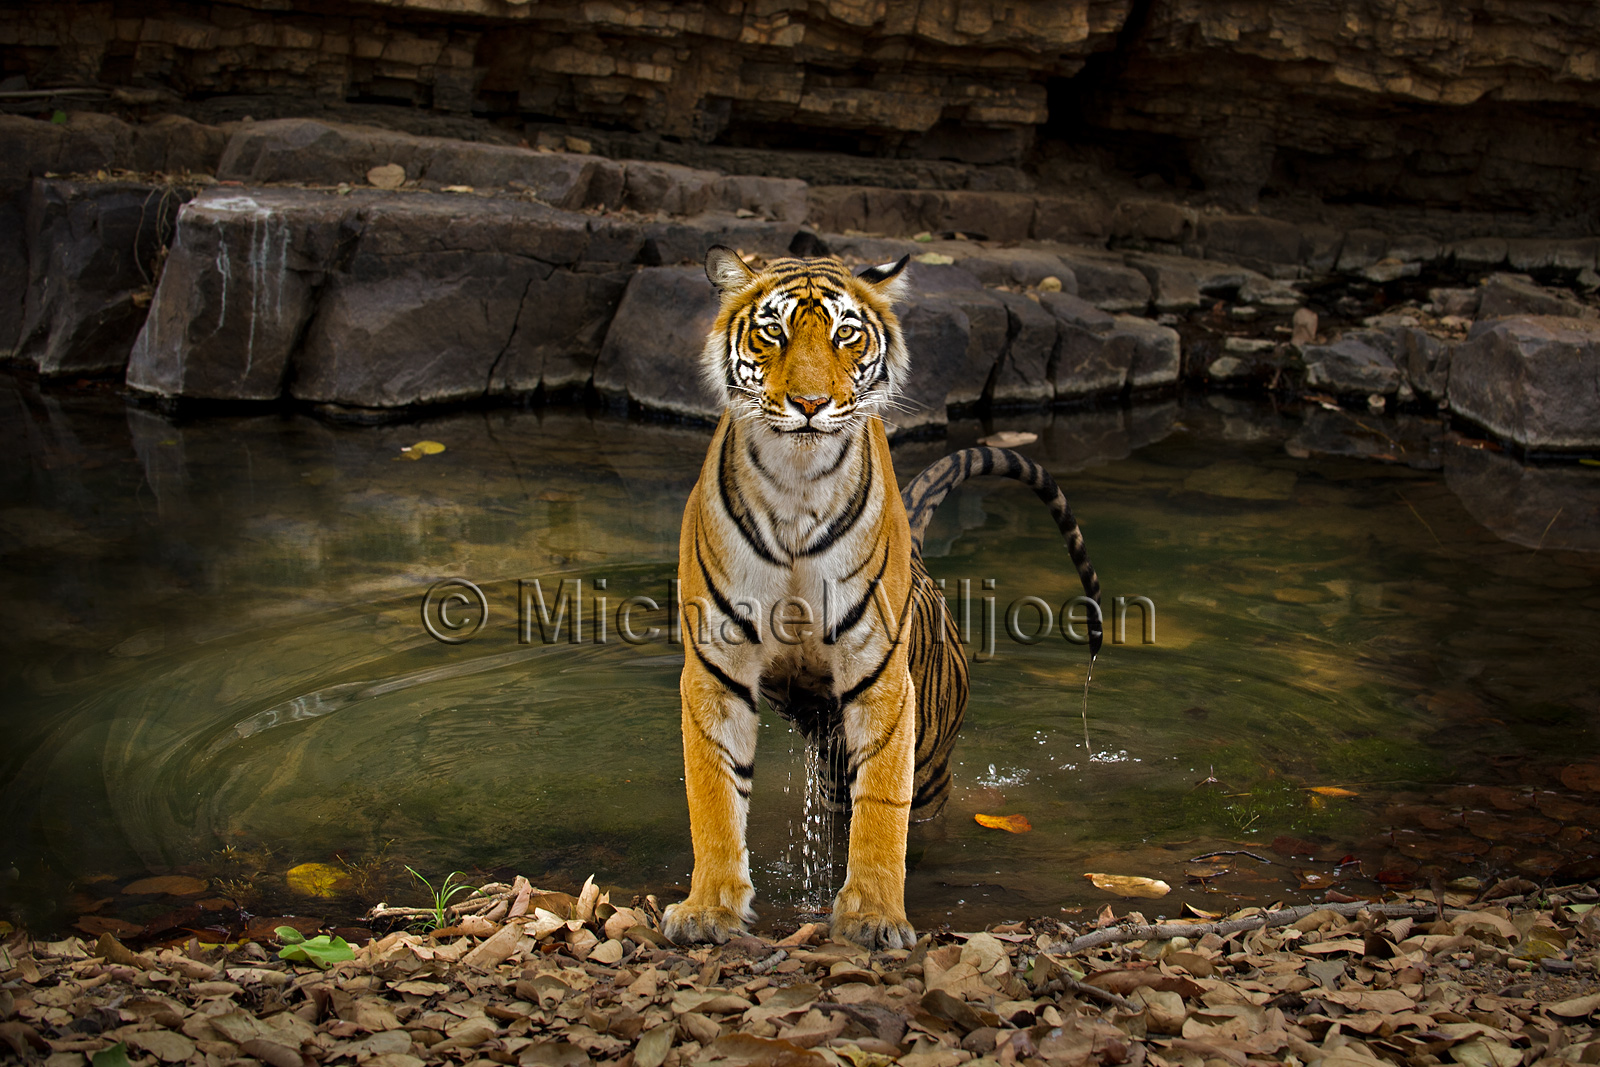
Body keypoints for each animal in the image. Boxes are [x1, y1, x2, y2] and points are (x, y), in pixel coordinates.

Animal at [661, 246, 1103, 950]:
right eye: (771, 332)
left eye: (846, 333)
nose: (810, 403)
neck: (796, 485)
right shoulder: (716, 666)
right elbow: (714, 794)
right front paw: (709, 908)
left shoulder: (880, 674)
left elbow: (882, 810)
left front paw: (872, 915)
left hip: (929, 762)